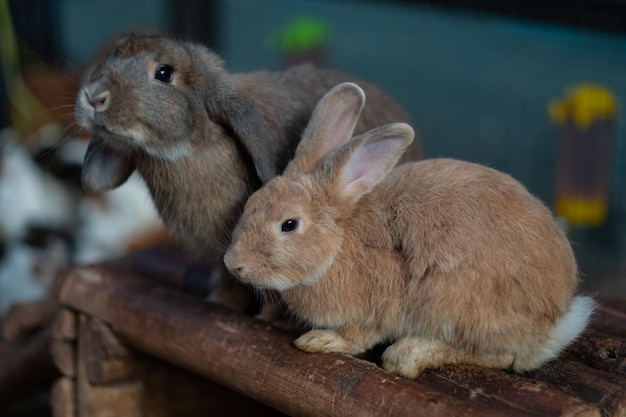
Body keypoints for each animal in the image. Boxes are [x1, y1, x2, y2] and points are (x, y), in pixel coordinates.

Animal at [223, 81, 588, 376]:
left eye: (289, 224)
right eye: (251, 202)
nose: (232, 264)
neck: (338, 245)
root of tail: (553, 320)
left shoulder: (376, 306)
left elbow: (359, 336)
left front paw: (321, 340)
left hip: (455, 303)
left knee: (501, 357)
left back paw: (408, 355)